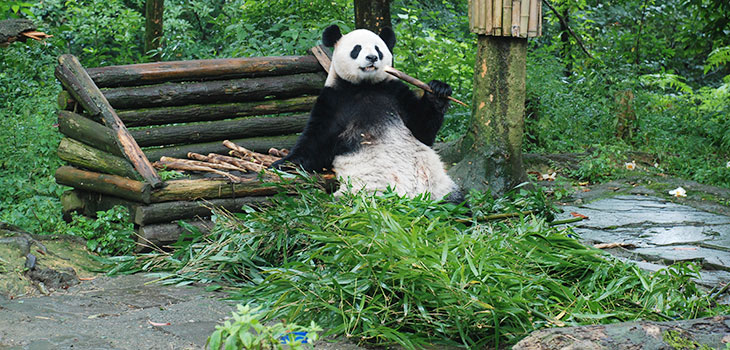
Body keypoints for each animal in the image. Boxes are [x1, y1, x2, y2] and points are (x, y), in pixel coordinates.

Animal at [272, 24, 460, 202]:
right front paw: (283, 163)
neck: (365, 86)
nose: (372, 58)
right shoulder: (334, 100)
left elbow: (422, 129)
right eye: (357, 49)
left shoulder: (395, 92)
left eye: (378, 49)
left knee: (454, 201)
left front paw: (439, 90)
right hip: (362, 191)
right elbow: (316, 142)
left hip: (437, 184)